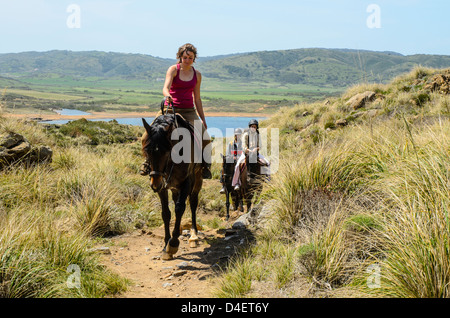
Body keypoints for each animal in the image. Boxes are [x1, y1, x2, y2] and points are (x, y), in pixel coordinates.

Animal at [142, 113, 203, 260]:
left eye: (166, 151)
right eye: (147, 150)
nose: (154, 184)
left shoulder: (187, 182)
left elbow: (180, 208)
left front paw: (173, 243)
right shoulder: (163, 187)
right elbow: (166, 213)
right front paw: (166, 245)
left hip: (197, 180)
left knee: (193, 203)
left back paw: (193, 235)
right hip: (174, 187)